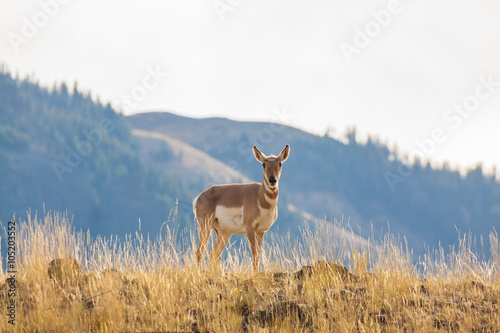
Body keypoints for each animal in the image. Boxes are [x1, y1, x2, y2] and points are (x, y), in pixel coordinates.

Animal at [193, 144, 292, 272]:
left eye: (280, 163)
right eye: (263, 164)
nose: (272, 180)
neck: (260, 197)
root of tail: (200, 196)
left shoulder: (261, 231)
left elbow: (258, 254)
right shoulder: (250, 228)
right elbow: (254, 253)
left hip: (224, 232)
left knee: (214, 253)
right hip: (206, 226)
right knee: (200, 251)